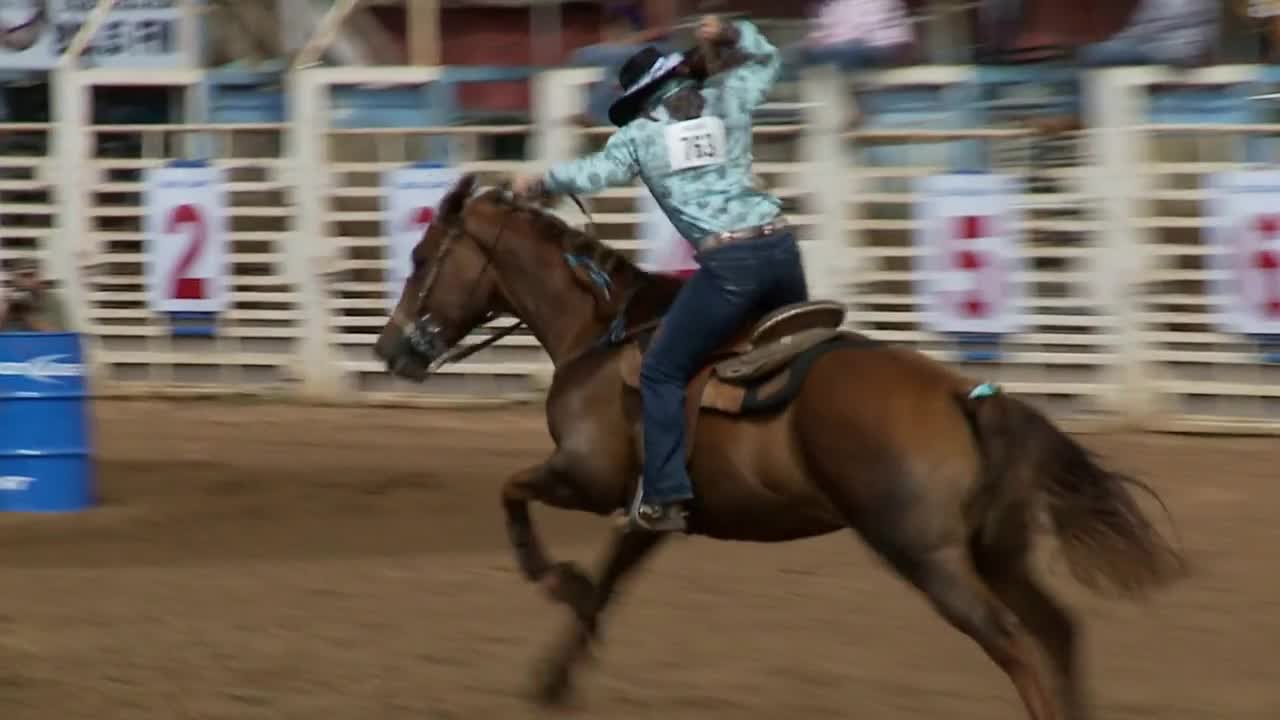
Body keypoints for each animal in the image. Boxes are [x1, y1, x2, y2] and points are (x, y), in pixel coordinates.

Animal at [373, 174, 1182, 717]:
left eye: (420, 254)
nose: (389, 349)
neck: (599, 332)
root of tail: (967, 397)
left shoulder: (586, 475)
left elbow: (512, 491)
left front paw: (552, 578)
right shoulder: (652, 510)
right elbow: (607, 583)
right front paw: (553, 675)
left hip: (929, 556)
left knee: (1014, 643)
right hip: (996, 550)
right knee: (1059, 632)